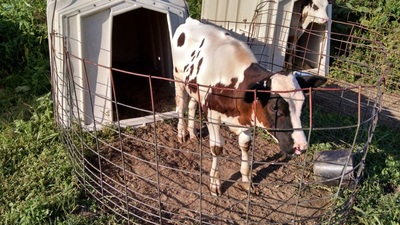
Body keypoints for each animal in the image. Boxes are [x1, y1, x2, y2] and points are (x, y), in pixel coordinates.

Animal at [171, 17, 324, 196]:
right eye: (275, 107)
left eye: (303, 106)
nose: (301, 146)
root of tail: (190, 21)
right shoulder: (213, 115)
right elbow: (216, 148)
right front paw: (215, 183)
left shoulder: (248, 117)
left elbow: (245, 145)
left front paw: (246, 180)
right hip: (178, 77)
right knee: (181, 104)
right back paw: (182, 133)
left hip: (194, 87)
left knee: (192, 105)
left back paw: (193, 133)